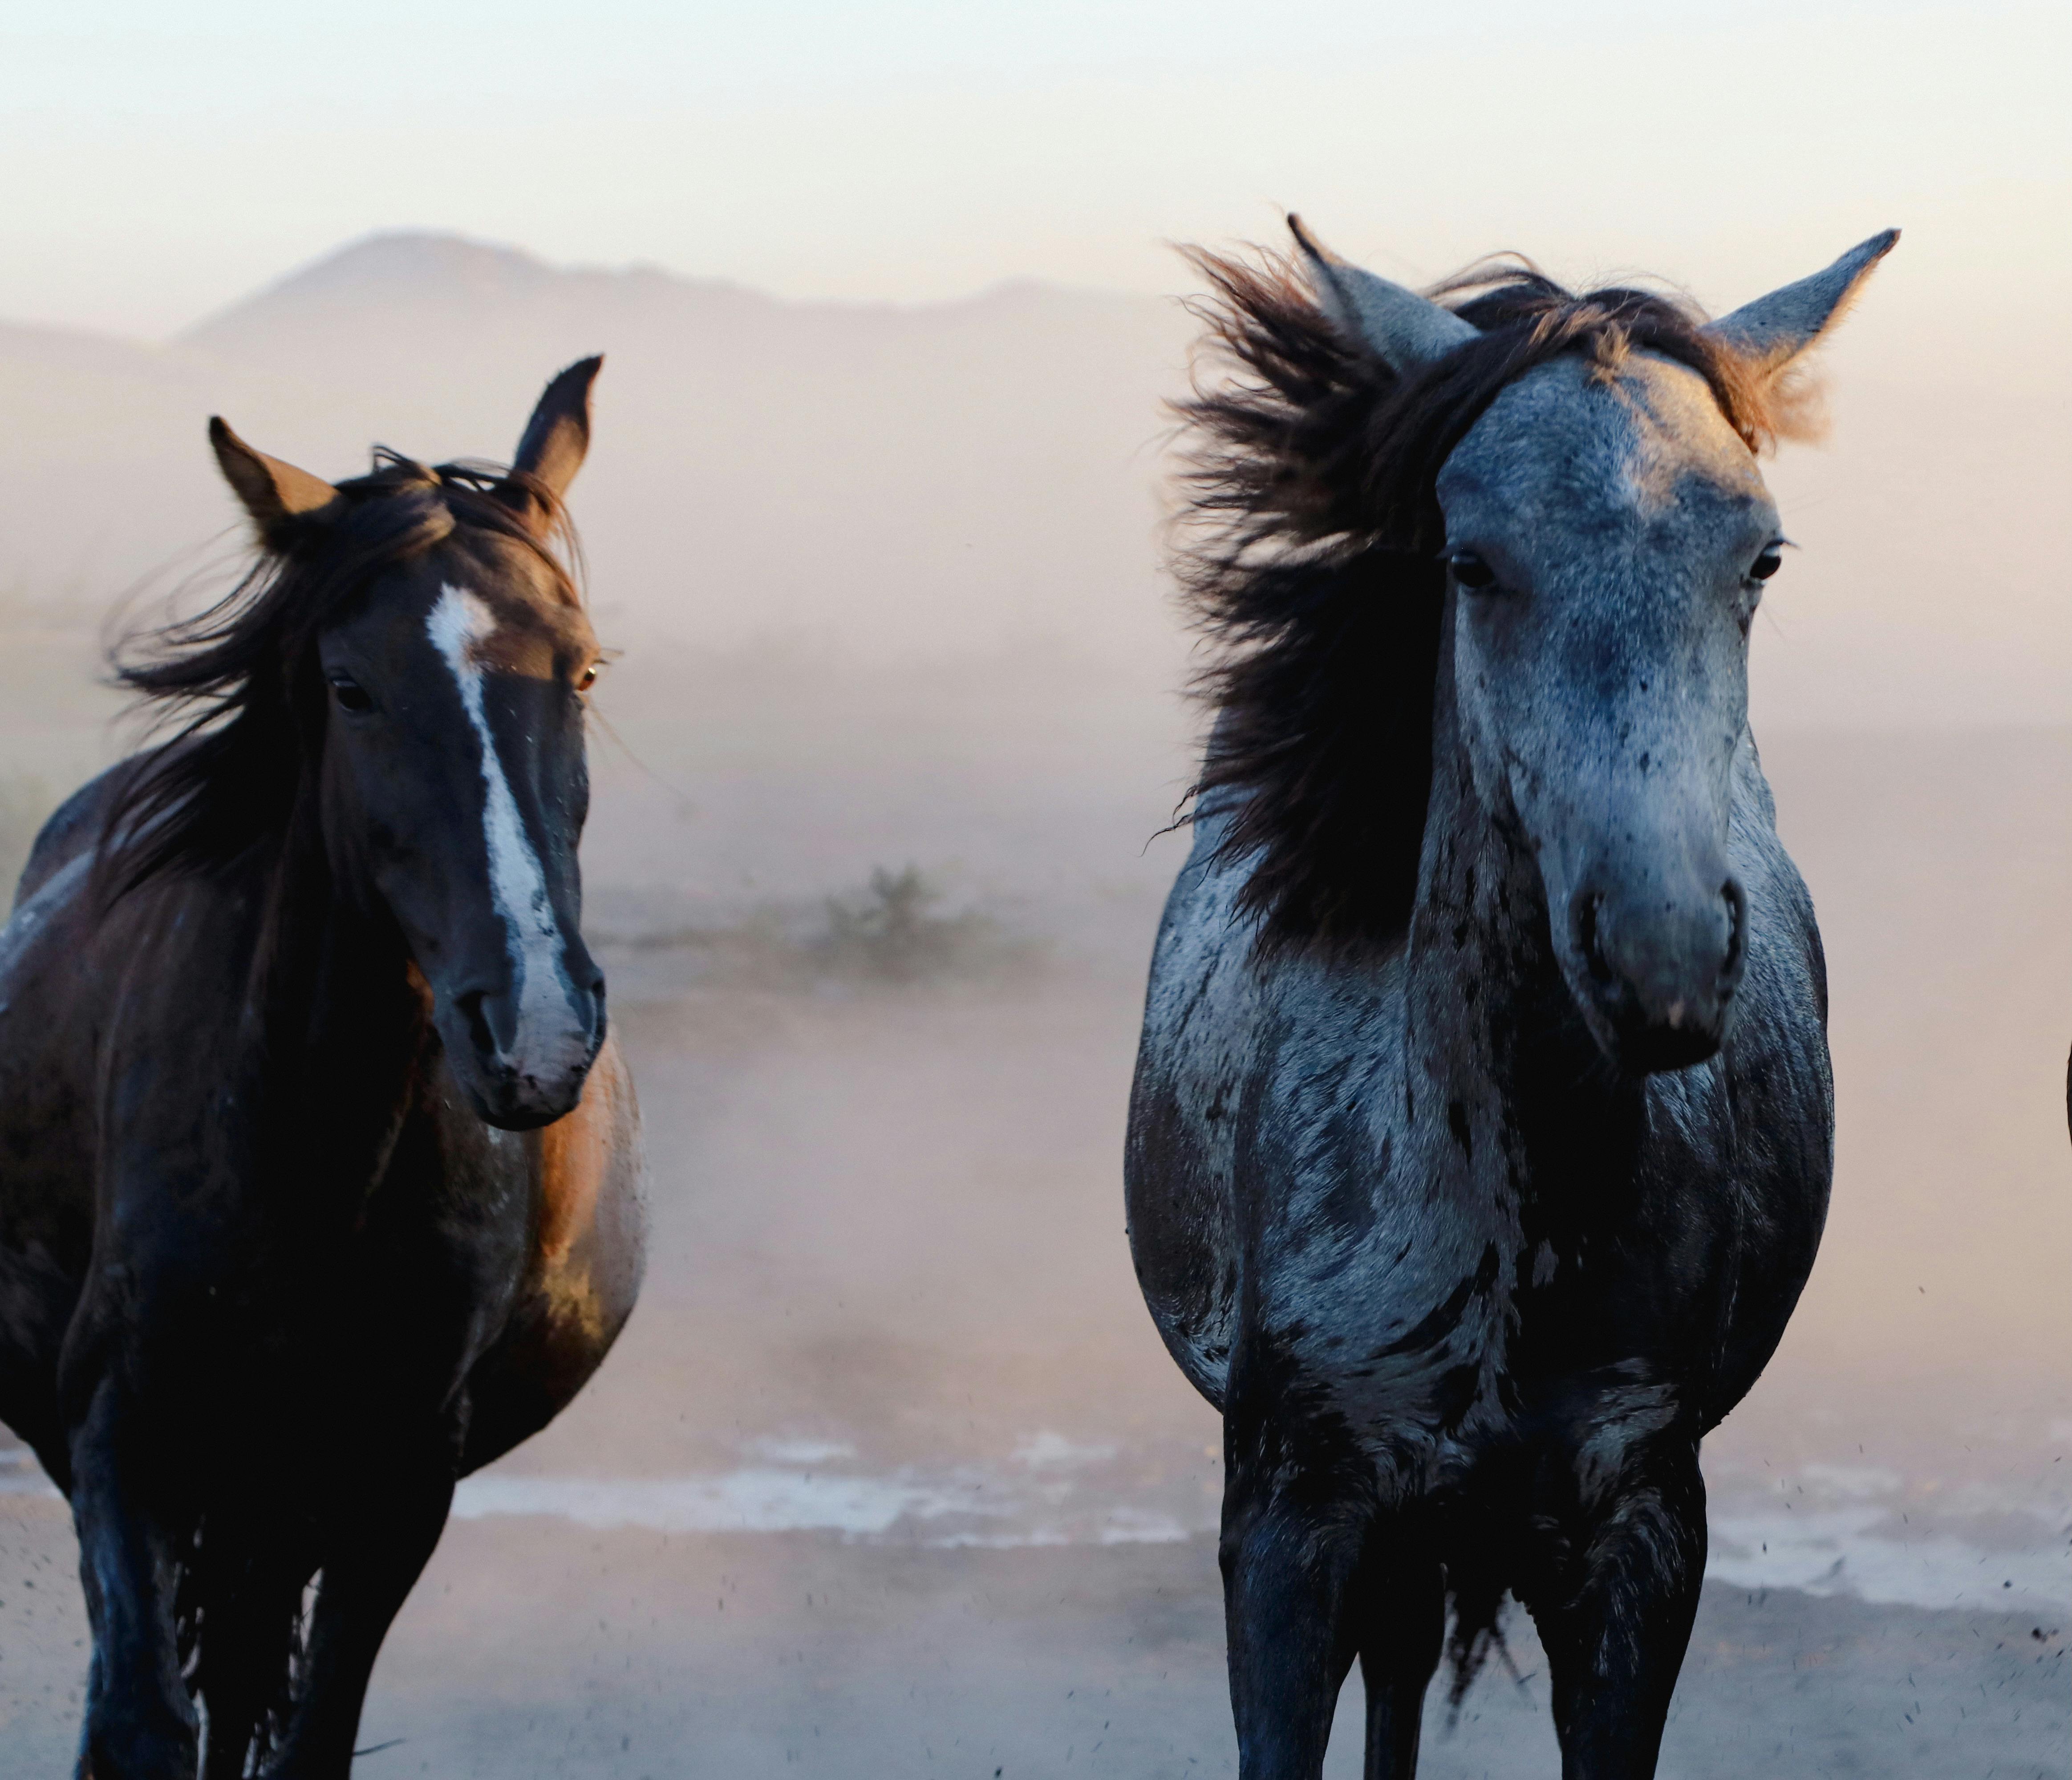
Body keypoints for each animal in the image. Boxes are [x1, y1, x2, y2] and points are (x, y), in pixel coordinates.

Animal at [0, 364, 638, 1780]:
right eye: (349, 687)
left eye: (580, 668)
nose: (535, 1027)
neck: (305, 1150)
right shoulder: (120, 1430)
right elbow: (137, 1722)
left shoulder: (396, 1472)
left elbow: (310, 1738)